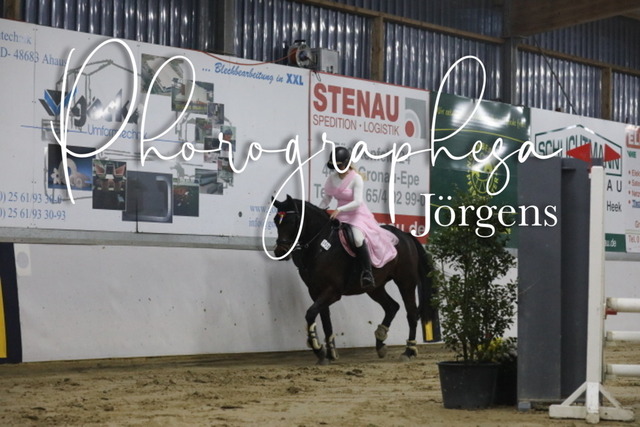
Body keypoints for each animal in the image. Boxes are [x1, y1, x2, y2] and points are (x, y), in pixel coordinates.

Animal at [272, 195, 439, 364]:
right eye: (275, 221)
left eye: (291, 221)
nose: (280, 252)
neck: (321, 245)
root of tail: (406, 236)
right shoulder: (315, 291)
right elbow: (325, 320)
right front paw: (330, 354)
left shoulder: (332, 291)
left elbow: (311, 313)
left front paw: (318, 349)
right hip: (374, 288)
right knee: (392, 306)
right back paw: (380, 343)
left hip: (406, 282)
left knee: (411, 313)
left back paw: (408, 351)